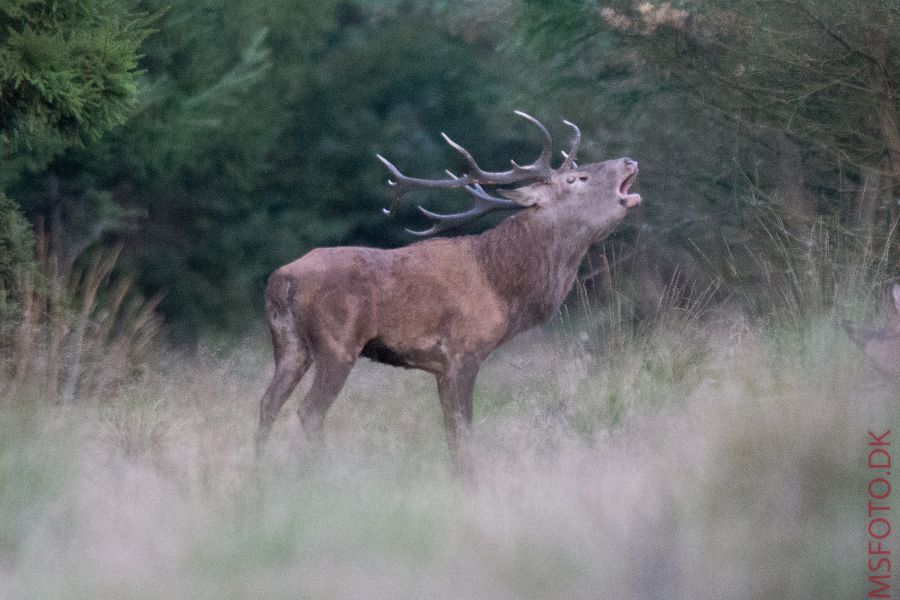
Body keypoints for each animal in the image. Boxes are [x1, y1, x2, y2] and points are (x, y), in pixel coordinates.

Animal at [253, 112, 644, 466]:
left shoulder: (441, 366)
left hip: (290, 344)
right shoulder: (462, 350)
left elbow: (451, 433)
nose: (629, 160)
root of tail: (281, 279)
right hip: (338, 342)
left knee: (268, 402)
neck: (502, 284)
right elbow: (462, 430)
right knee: (309, 410)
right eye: (576, 178)